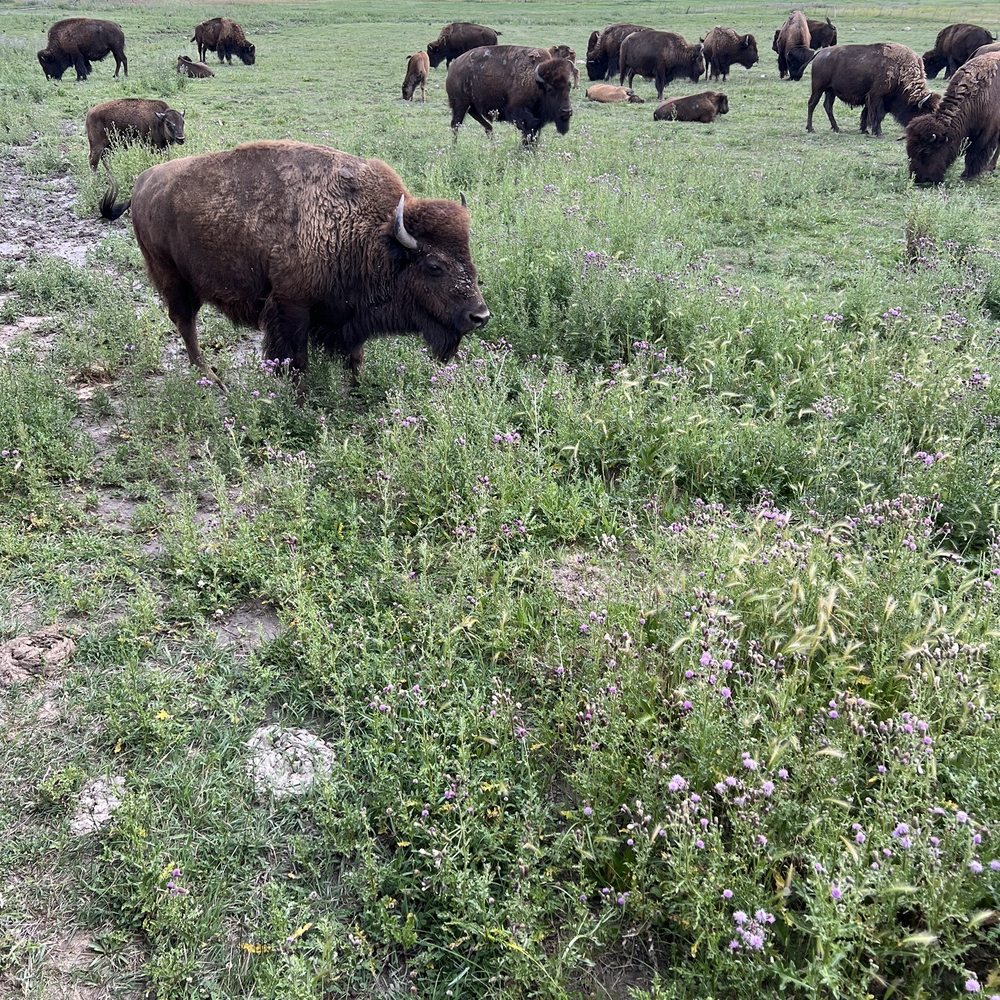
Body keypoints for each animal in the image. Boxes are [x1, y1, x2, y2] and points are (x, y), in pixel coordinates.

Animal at [100, 141, 489, 382]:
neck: (367, 231)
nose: (480, 316)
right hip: (175, 280)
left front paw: (357, 389)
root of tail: (143, 181)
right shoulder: (291, 308)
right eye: (434, 265)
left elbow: (355, 357)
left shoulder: (348, 317)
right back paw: (212, 378)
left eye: (468, 256)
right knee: (186, 323)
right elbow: (296, 361)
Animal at [446, 45, 575, 145]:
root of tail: (454, 67)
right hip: (460, 104)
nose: (566, 111)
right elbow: (528, 134)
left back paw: (490, 133)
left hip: (471, 104)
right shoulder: (520, 115)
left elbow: (533, 136)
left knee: (474, 116)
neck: (536, 83)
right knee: (456, 124)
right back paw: (455, 146)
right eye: (550, 88)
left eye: (569, 86)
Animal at [807, 43, 940, 136]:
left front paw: (865, 130)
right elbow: (878, 115)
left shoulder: (870, 98)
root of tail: (821, 53)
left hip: (830, 91)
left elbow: (866, 114)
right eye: (923, 113)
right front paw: (878, 132)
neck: (900, 70)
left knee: (828, 106)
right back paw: (811, 129)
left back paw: (836, 128)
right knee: (812, 104)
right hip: (818, 88)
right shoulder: (876, 96)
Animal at [906, 51, 1000, 183]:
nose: (918, 179)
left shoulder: (987, 132)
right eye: (909, 150)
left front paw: (968, 175)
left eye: (925, 151)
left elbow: (975, 153)